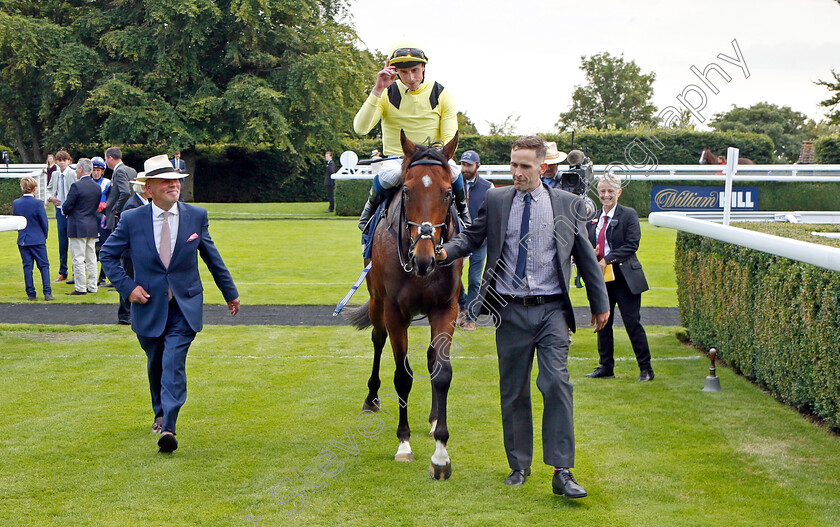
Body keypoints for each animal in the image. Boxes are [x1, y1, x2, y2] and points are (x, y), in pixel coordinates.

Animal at [348, 131, 466, 478]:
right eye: (407, 191)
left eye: (448, 194)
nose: (426, 258)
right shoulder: (394, 312)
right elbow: (402, 375)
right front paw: (404, 444)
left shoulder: (446, 308)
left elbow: (441, 371)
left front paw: (441, 453)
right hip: (376, 303)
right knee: (377, 340)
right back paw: (371, 397)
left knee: (430, 358)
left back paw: (433, 419)